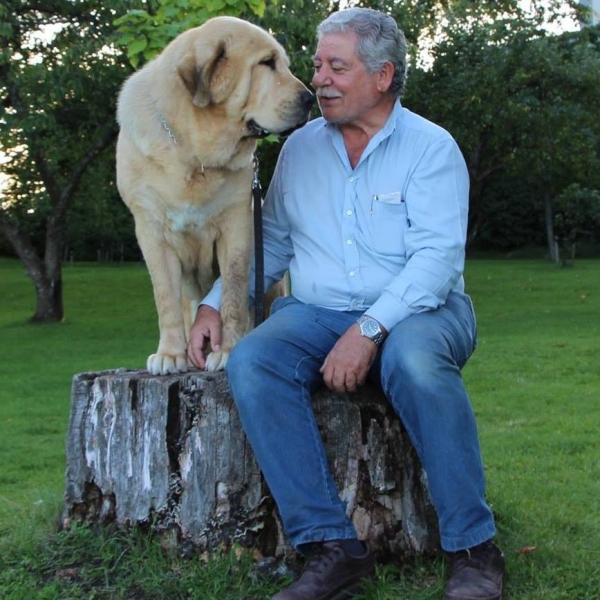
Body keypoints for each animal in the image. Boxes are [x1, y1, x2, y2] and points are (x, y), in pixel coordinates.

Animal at [116, 16, 314, 372]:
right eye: (267, 63)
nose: (310, 98)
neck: (195, 154)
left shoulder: (237, 227)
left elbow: (232, 294)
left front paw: (229, 350)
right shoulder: (151, 231)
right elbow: (165, 299)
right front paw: (170, 354)